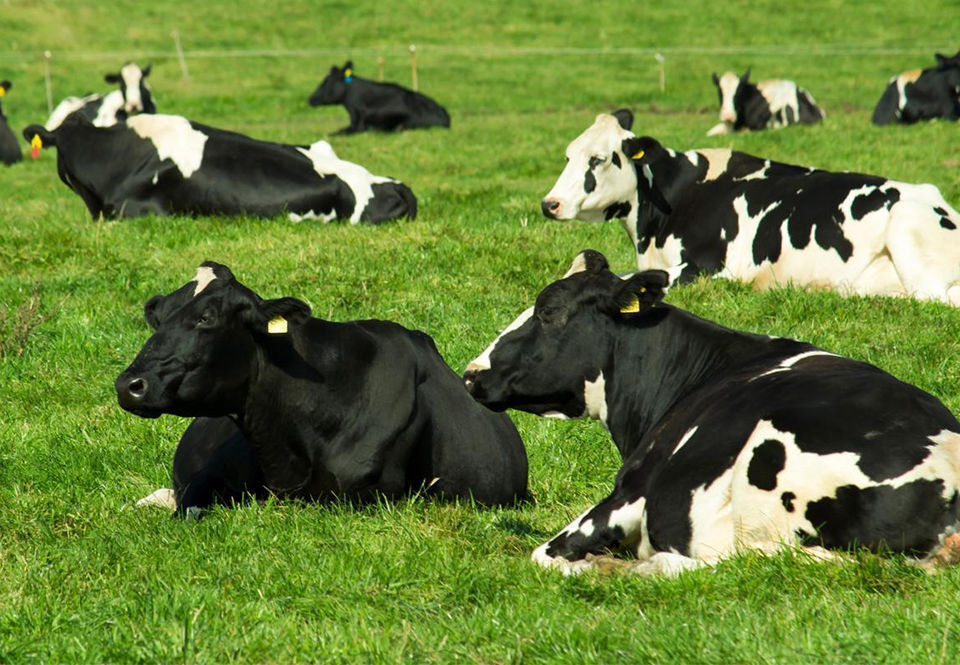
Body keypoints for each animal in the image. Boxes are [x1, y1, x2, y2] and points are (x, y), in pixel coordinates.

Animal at [541, 110, 960, 305]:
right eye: (567, 155)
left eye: (598, 159)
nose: (550, 204)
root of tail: (936, 197)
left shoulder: (706, 265)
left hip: (909, 236)